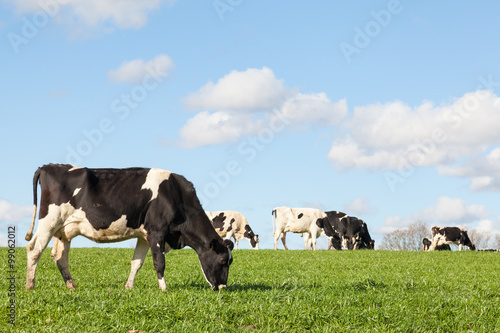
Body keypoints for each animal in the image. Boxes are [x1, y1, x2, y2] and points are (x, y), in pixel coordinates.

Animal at [27, 163, 236, 290]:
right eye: (222, 260)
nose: (222, 288)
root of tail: (47, 167)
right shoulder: (156, 232)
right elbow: (159, 262)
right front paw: (164, 288)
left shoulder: (144, 236)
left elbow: (137, 262)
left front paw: (128, 287)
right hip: (49, 221)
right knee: (34, 250)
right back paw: (30, 286)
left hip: (63, 230)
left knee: (60, 257)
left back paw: (71, 286)